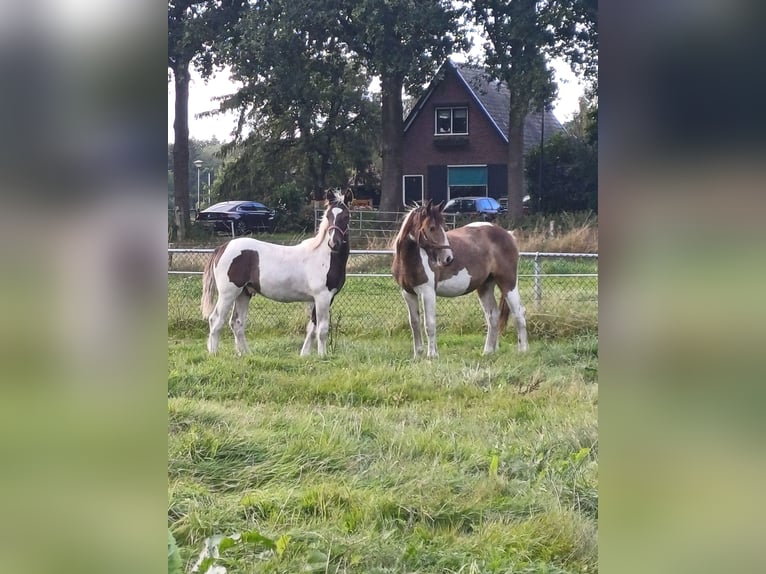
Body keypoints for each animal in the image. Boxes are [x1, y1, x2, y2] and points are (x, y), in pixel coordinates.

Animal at [200, 191, 352, 358]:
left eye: (346, 216)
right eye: (328, 216)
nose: (334, 243)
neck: (325, 256)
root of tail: (222, 248)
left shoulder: (317, 300)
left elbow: (311, 328)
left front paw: (304, 354)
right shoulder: (322, 297)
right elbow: (322, 329)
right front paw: (322, 356)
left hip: (244, 293)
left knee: (237, 323)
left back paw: (246, 354)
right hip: (228, 294)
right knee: (216, 320)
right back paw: (214, 353)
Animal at [392, 200, 532, 358]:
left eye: (445, 227)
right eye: (431, 228)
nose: (448, 258)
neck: (410, 259)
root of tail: (508, 234)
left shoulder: (427, 293)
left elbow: (429, 324)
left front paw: (432, 355)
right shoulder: (408, 293)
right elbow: (414, 323)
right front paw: (418, 355)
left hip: (508, 282)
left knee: (519, 313)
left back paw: (523, 350)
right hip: (485, 286)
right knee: (493, 316)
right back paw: (488, 351)